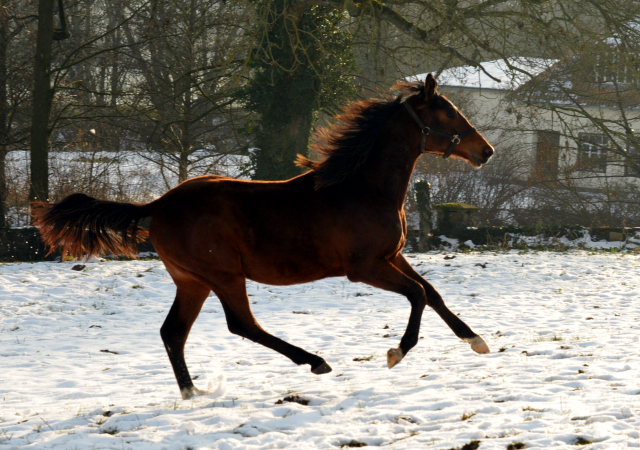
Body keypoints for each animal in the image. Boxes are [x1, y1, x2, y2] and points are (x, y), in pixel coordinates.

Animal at [33, 74, 496, 400]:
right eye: (447, 113)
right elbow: (417, 295)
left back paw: (192, 391)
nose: (486, 151)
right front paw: (396, 353)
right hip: (222, 275)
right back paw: (314, 361)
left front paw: (476, 340)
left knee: (173, 333)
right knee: (242, 324)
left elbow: (431, 292)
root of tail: (159, 204)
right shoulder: (364, 267)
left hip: (192, 281)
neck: (363, 189)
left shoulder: (393, 256)